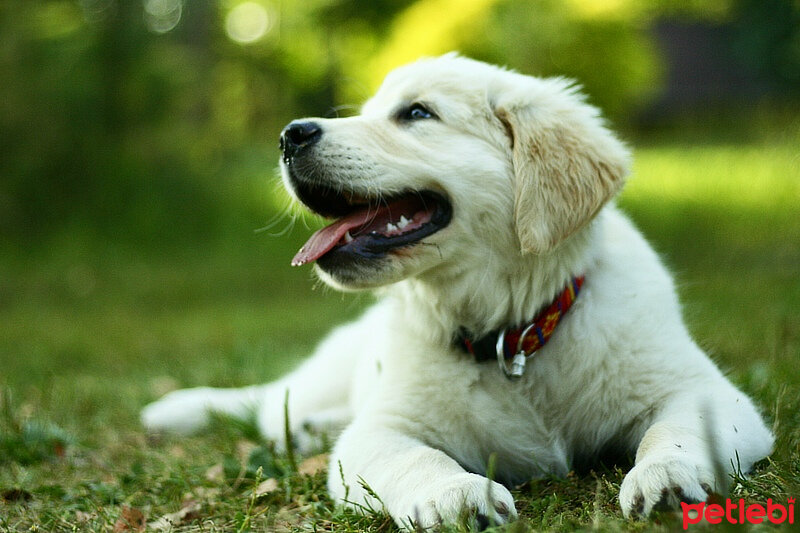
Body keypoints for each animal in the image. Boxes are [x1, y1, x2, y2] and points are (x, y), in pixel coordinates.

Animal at [144, 54, 776, 528]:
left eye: (416, 113)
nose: (288, 135)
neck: (511, 334)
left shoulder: (706, 392)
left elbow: (677, 429)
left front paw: (666, 476)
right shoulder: (379, 430)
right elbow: (413, 458)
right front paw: (454, 496)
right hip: (319, 380)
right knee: (264, 404)